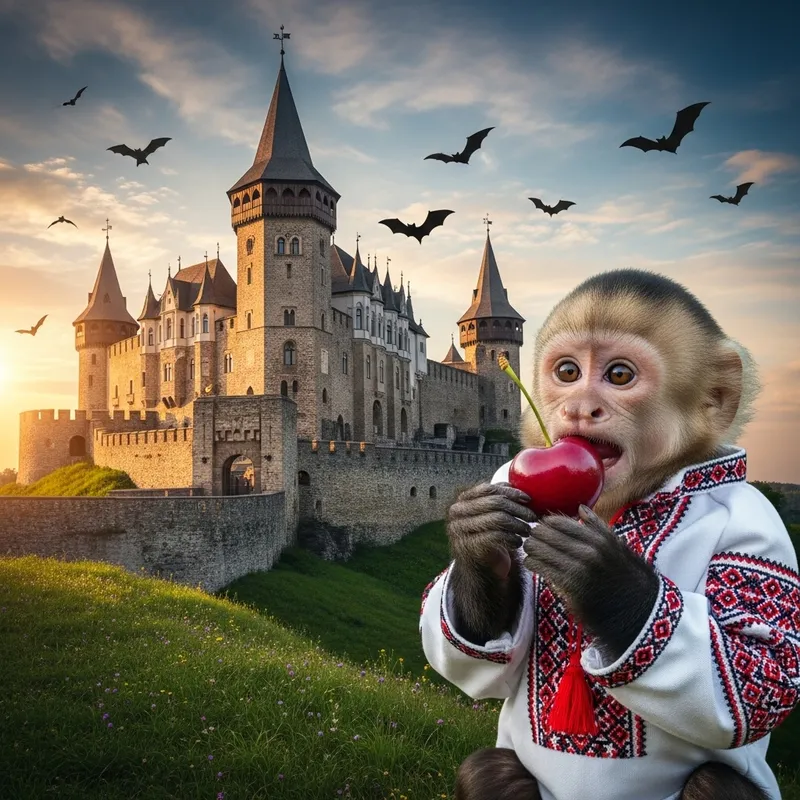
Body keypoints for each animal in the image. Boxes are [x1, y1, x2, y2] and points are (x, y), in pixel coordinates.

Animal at [419, 269, 798, 800]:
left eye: (620, 375)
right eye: (567, 372)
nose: (580, 407)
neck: (623, 502)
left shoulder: (762, 535)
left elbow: (762, 668)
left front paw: (601, 576)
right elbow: (476, 646)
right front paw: (476, 535)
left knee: (714, 780)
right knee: (487, 770)